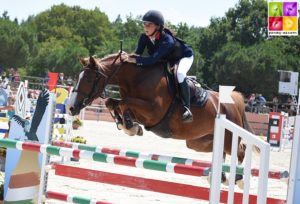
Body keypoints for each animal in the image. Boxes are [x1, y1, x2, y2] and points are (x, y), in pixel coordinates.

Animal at [67, 52, 251, 164]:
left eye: (88, 79)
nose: (71, 108)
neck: (137, 77)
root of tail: (234, 101)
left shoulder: (154, 111)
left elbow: (125, 102)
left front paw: (130, 127)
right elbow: (113, 102)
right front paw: (127, 125)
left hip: (229, 136)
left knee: (240, 151)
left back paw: (237, 180)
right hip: (196, 141)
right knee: (220, 152)